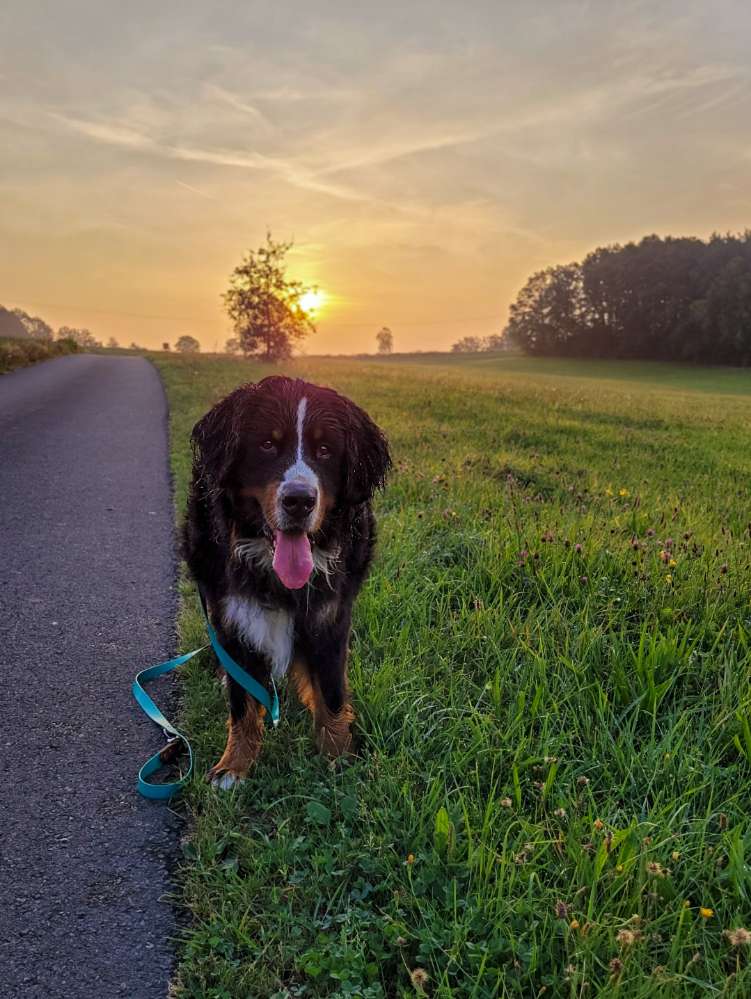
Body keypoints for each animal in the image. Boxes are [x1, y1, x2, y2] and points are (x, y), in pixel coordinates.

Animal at [184, 376, 390, 788]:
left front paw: (338, 757)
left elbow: (331, 692)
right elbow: (242, 703)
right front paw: (234, 766)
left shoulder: (330, 619)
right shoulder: (233, 619)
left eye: (325, 450)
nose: (299, 500)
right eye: (267, 445)